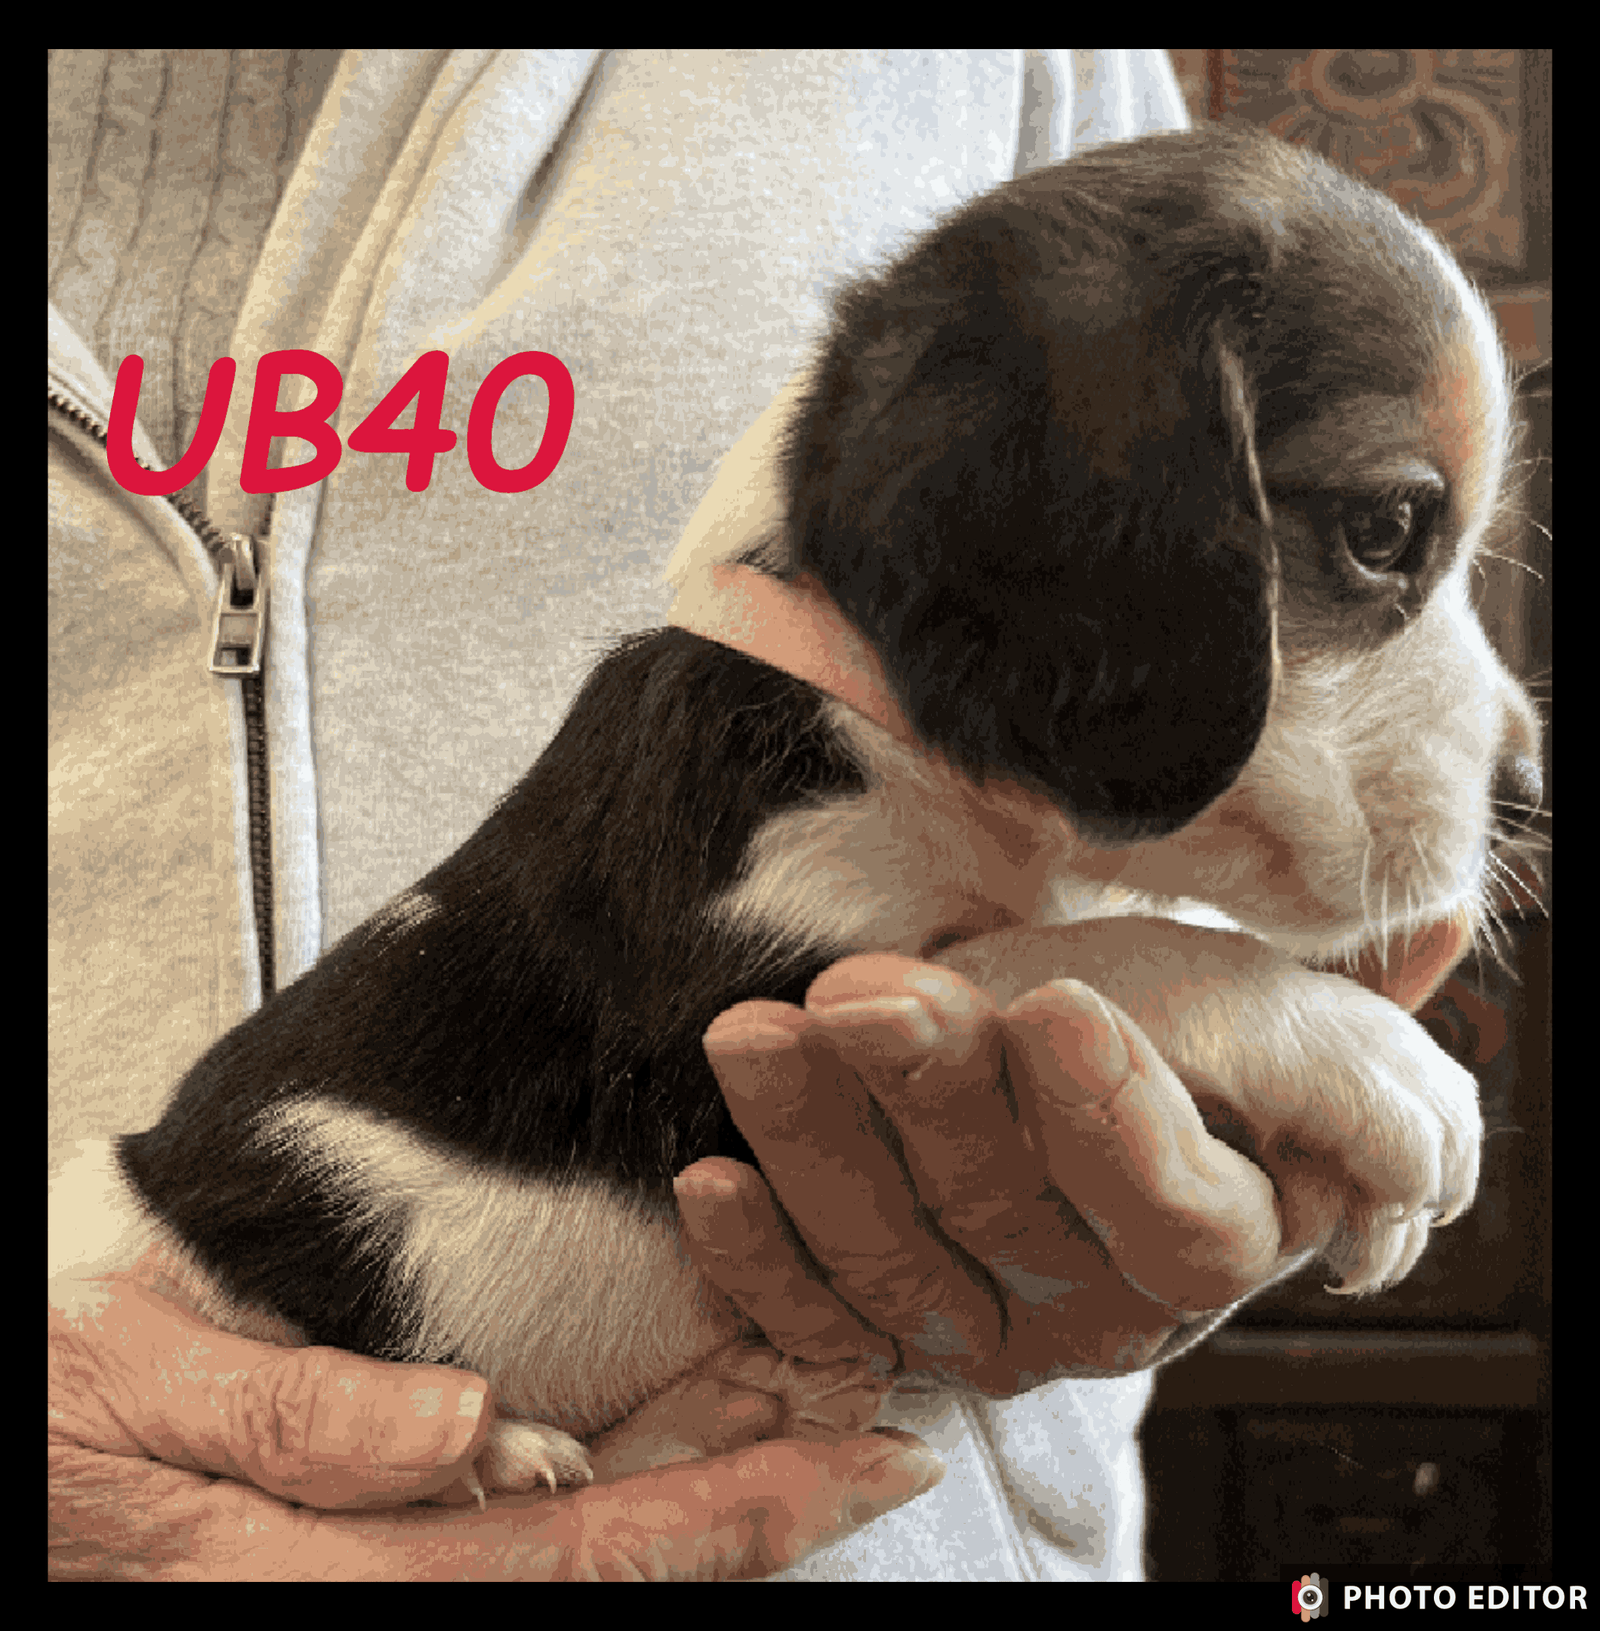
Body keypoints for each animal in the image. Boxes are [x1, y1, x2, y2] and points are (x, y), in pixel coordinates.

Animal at [110, 126, 1544, 1499]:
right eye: (1384, 527)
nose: (1529, 796)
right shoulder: (731, 1015)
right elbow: (1082, 949)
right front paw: (1378, 1063)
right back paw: (494, 1445)